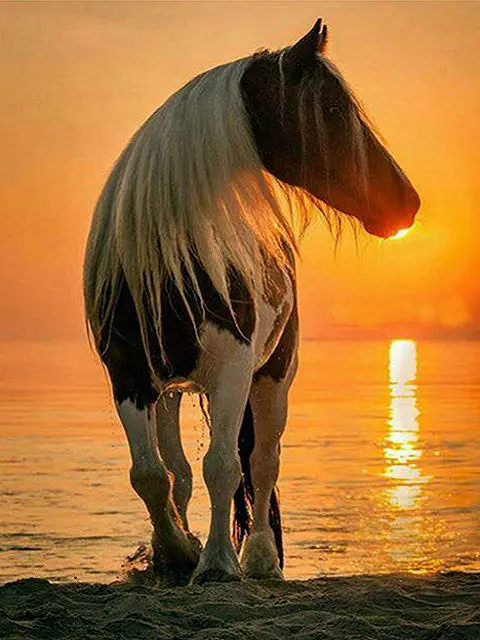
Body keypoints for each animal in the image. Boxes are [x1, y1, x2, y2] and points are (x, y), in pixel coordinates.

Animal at [83, 19, 420, 584]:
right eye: (332, 111)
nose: (407, 203)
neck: (170, 257)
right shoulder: (127, 374)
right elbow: (150, 474)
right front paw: (177, 552)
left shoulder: (235, 366)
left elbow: (225, 466)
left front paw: (218, 563)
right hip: (171, 391)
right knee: (178, 471)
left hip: (273, 375)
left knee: (262, 463)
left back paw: (260, 557)